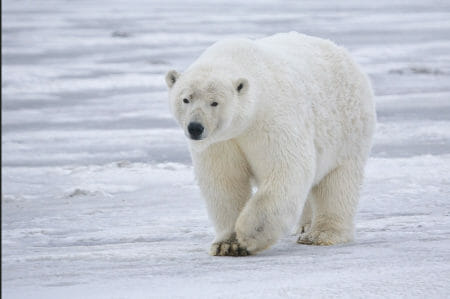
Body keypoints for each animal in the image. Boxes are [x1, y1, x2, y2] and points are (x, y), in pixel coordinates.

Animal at [165, 32, 376, 258]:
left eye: (214, 102)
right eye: (186, 99)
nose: (195, 127)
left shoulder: (271, 119)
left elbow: (287, 168)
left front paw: (249, 234)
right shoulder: (221, 142)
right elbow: (225, 181)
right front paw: (227, 244)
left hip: (347, 130)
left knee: (337, 182)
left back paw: (320, 234)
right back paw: (304, 225)